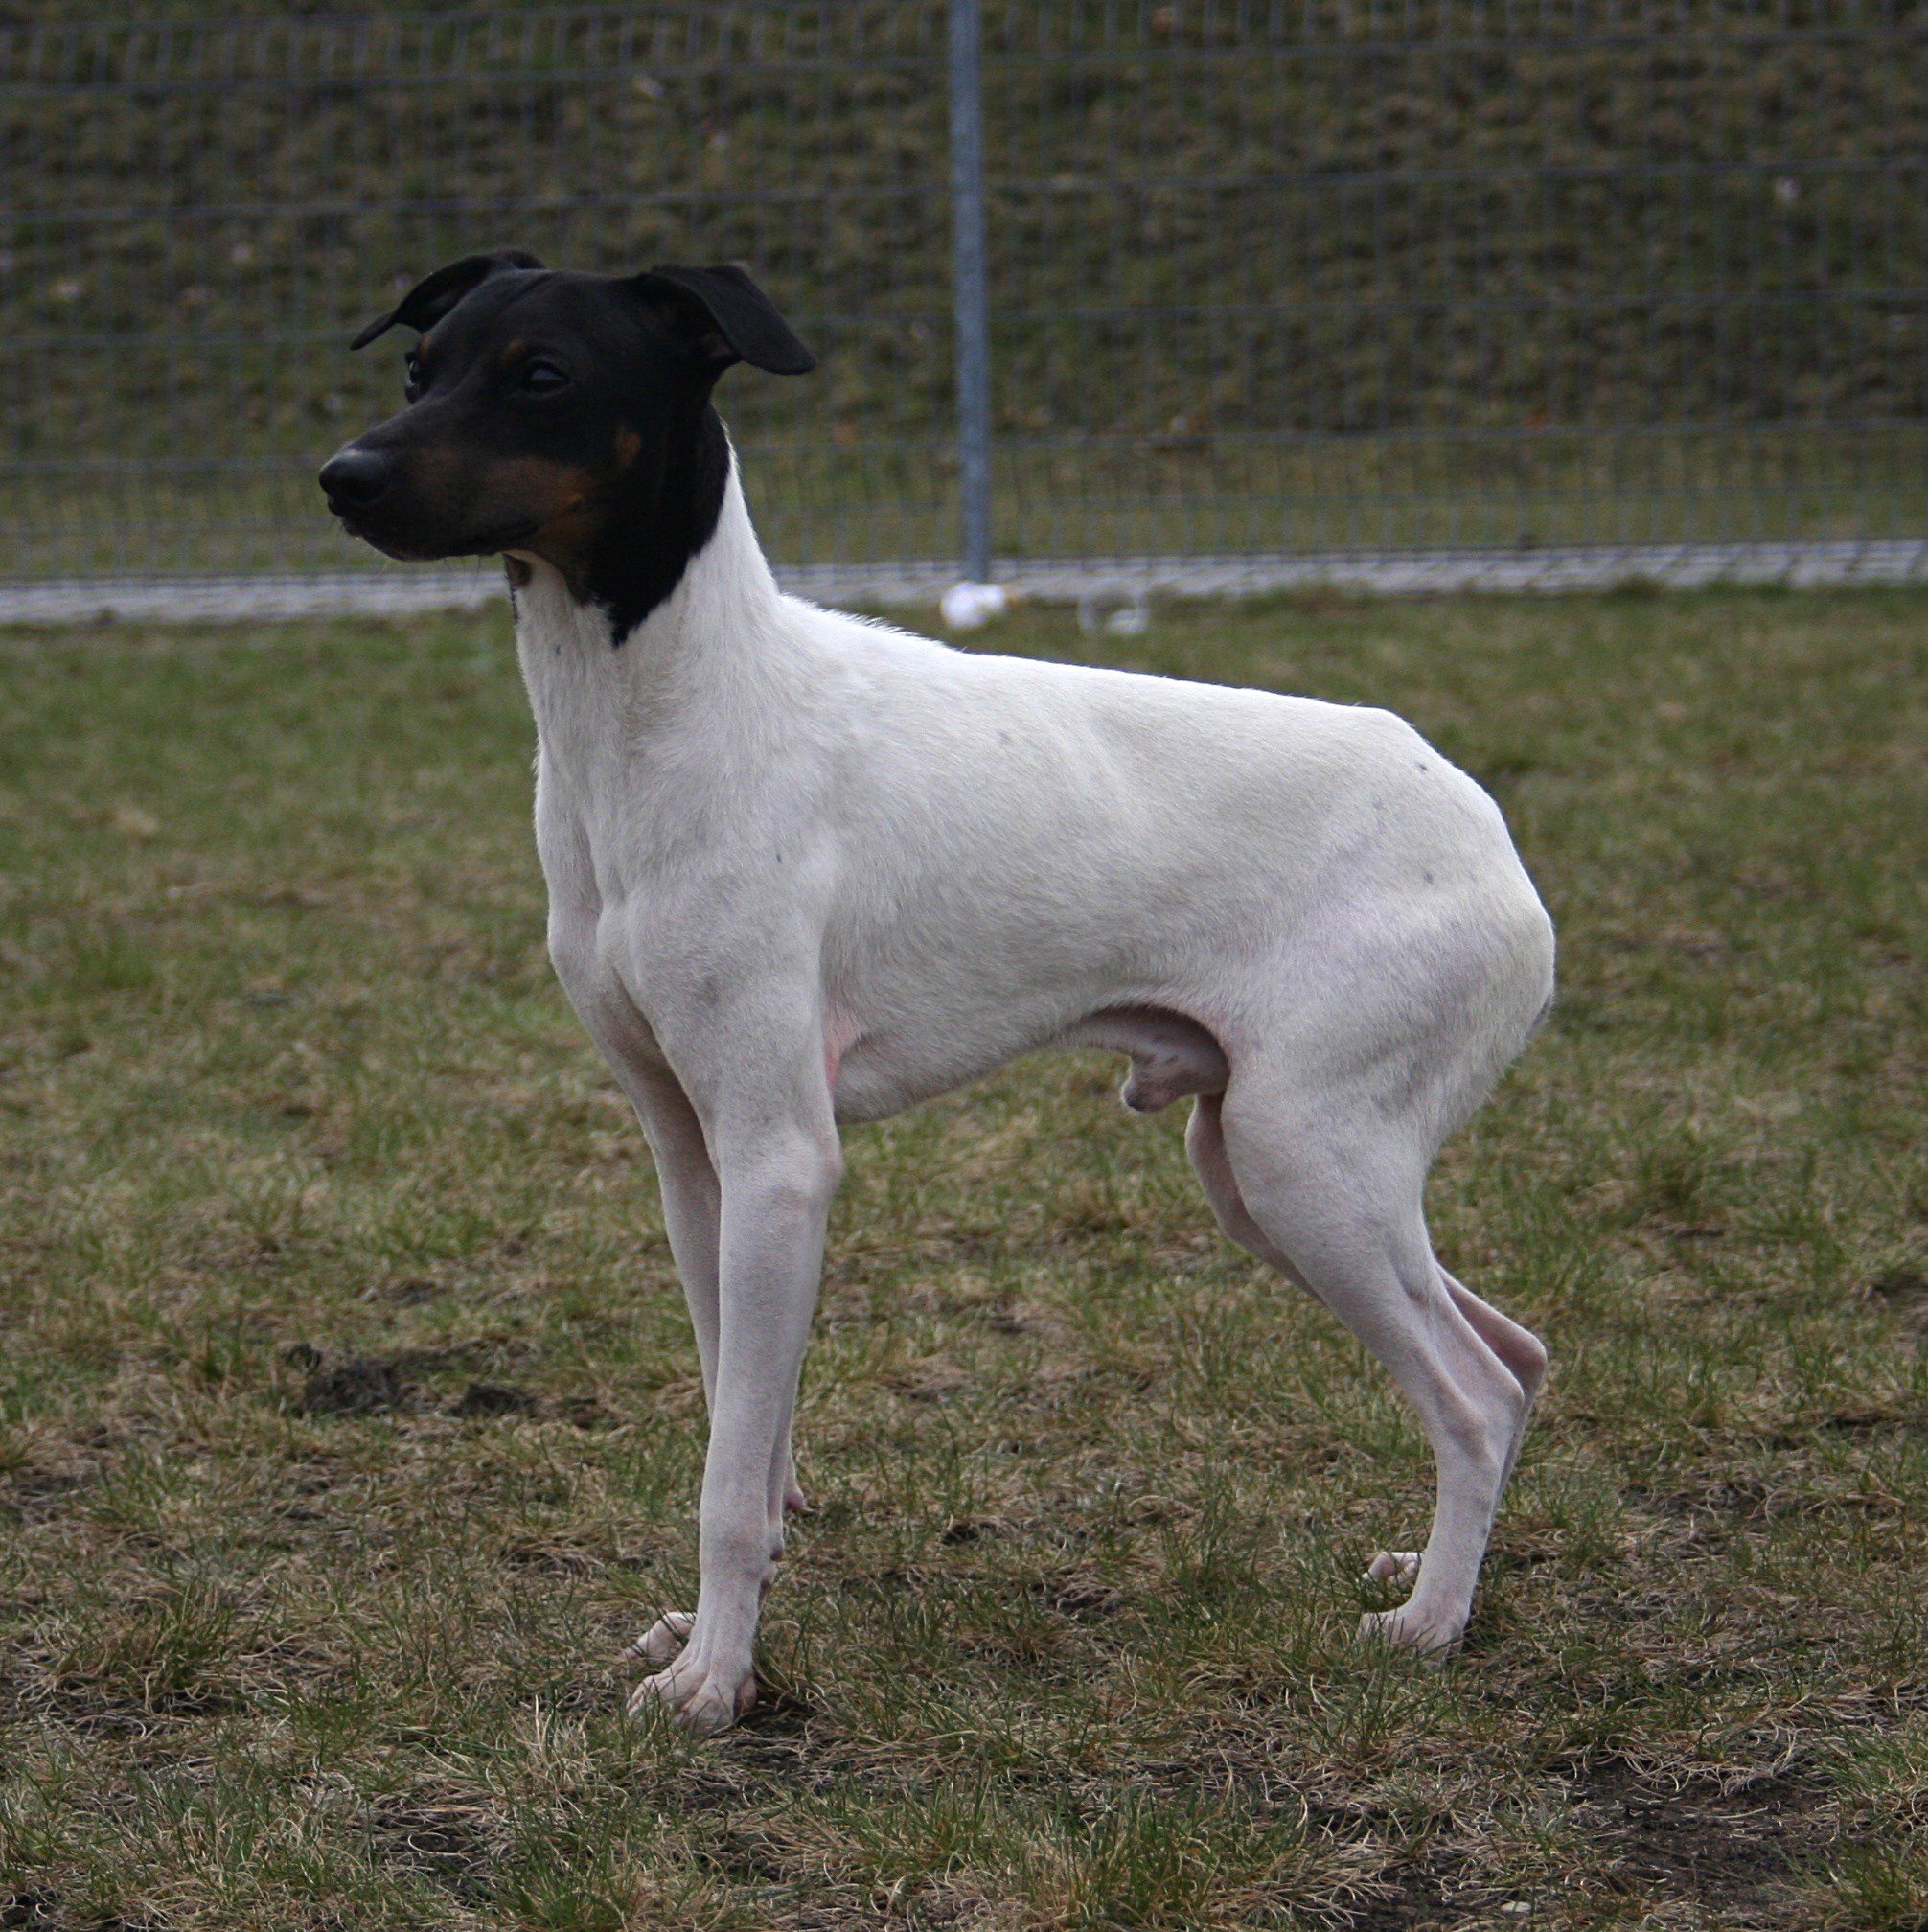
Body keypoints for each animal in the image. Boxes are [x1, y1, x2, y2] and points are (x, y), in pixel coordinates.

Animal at [316, 253, 1552, 1738]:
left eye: (542, 374)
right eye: (419, 365)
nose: (342, 478)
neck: (673, 717)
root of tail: (1489, 840)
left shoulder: (782, 1159)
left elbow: (729, 1483)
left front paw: (715, 1682)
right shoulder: (691, 1157)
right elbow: (746, 1426)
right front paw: (718, 1626)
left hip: (1304, 1162)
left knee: (1471, 1397)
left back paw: (1427, 1624)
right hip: (1268, 1174)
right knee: (1515, 1360)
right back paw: (1428, 1570)